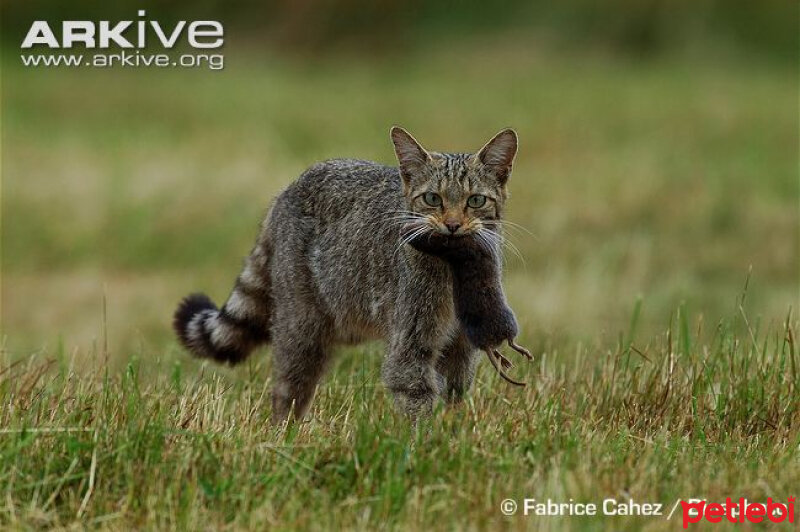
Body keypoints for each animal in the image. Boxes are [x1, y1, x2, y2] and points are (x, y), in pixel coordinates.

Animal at [174, 127, 520, 422]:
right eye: (433, 199)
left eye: (475, 201)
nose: (452, 225)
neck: (454, 267)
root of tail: (285, 192)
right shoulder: (410, 341)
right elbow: (415, 393)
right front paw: (422, 444)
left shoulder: (461, 347)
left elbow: (455, 395)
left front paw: (452, 432)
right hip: (301, 326)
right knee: (288, 391)